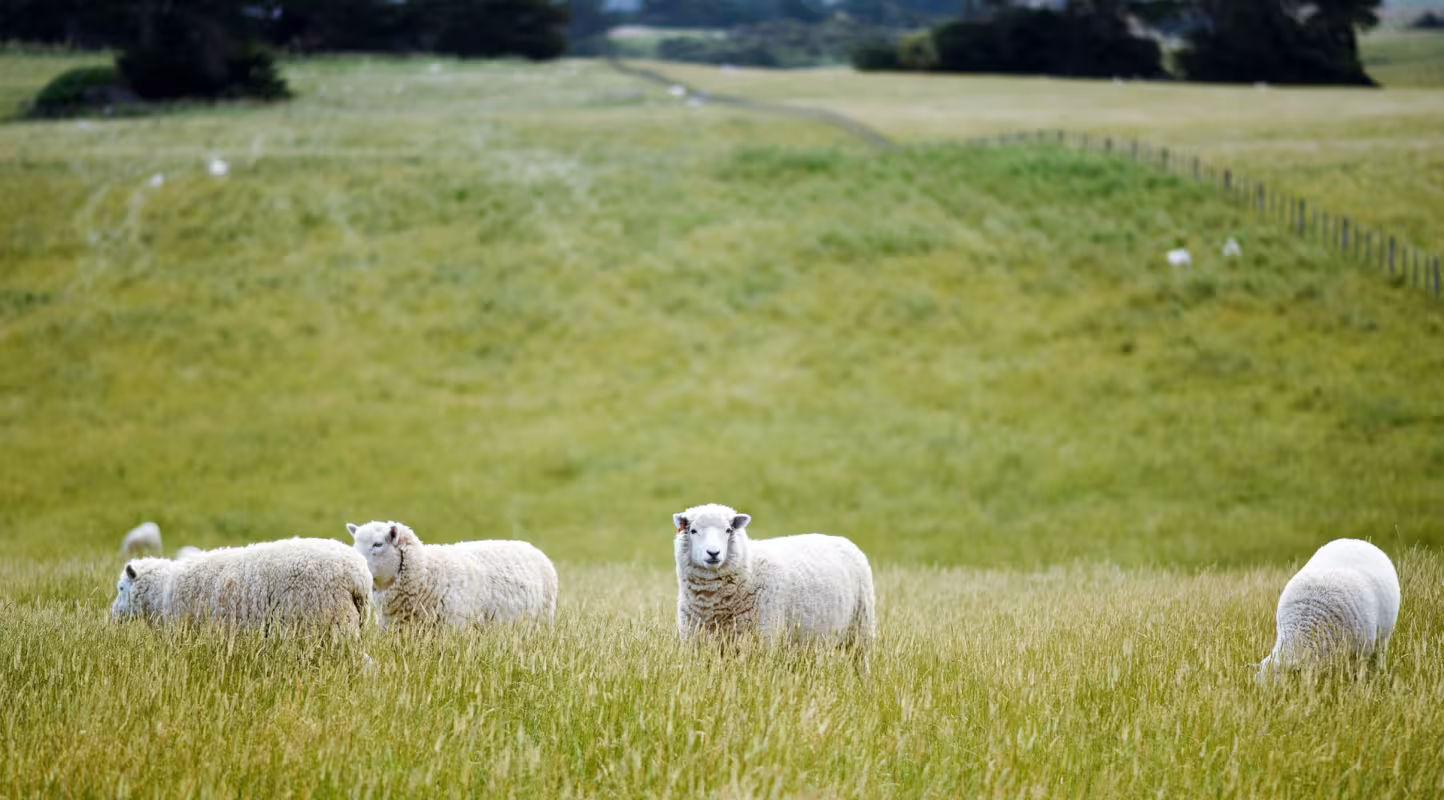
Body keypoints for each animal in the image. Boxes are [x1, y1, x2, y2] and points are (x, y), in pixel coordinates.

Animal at [672, 503, 875, 661]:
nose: (713, 553)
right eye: (693, 531)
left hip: (860, 629)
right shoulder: (697, 643)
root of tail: (843, 540)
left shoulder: (762, 641)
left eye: (728, 530)